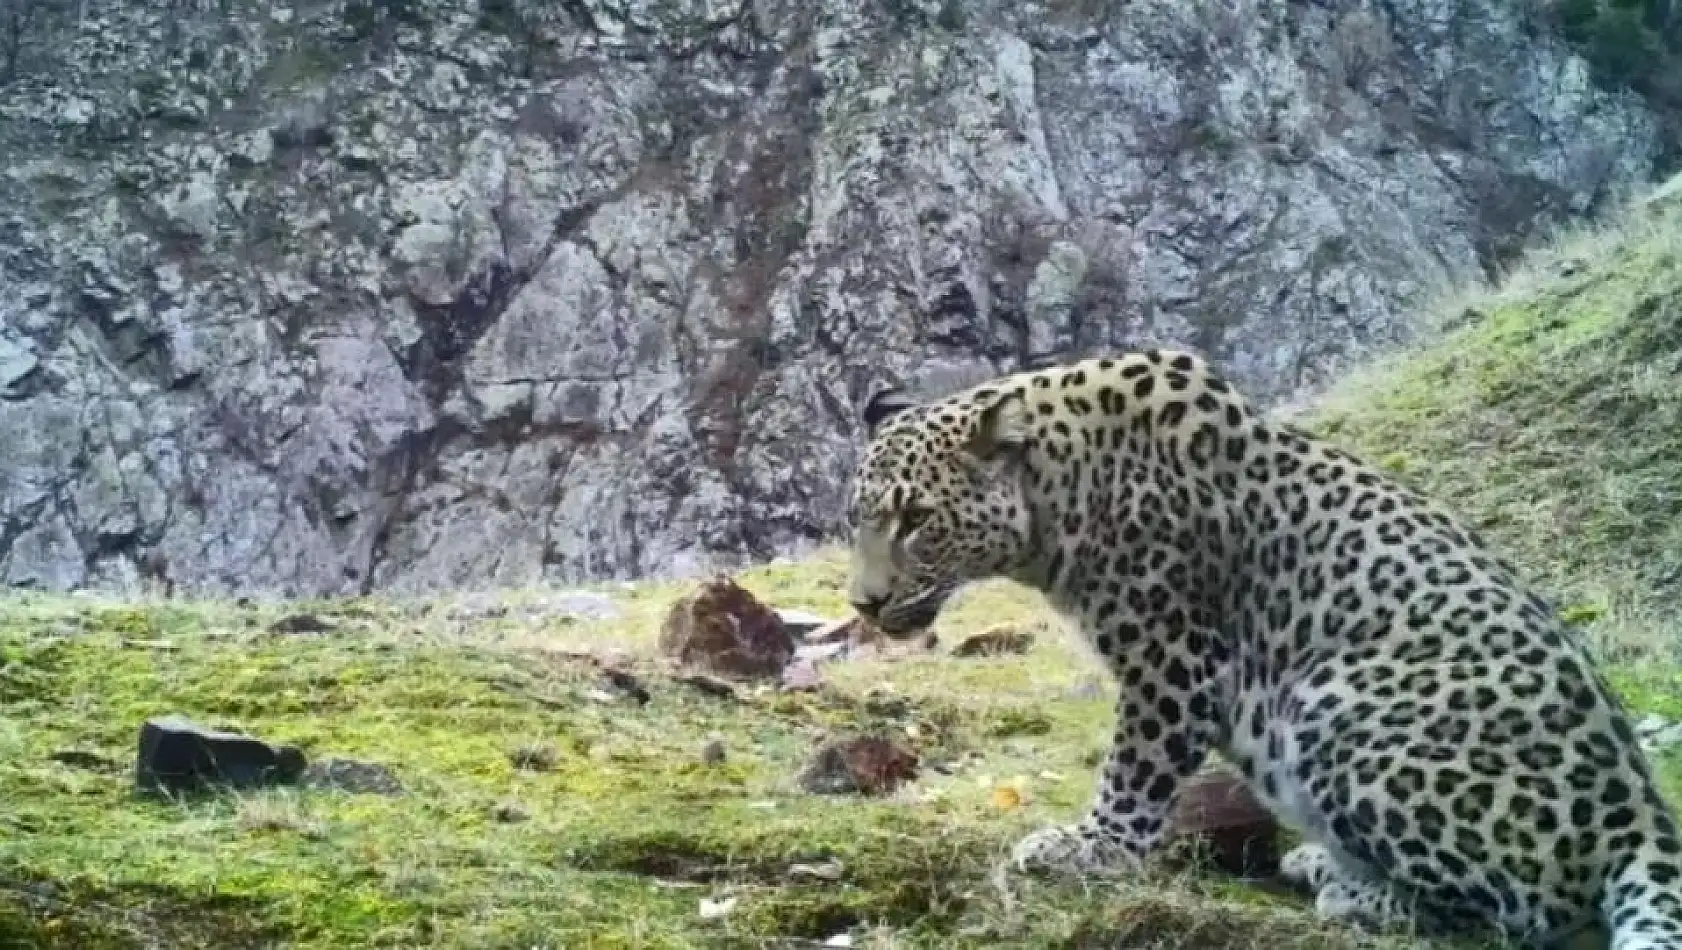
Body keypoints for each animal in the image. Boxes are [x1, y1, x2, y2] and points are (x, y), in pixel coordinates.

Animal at [847, 348, 1682, 948]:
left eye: (917, 520)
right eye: (859, 519)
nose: (863, 604)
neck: (1063, 492)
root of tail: (1644, 813)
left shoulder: (1171, 658)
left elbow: (1134, 771)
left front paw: (1090, 848)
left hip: (1339, 703)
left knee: (1525, 911)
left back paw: (1352, 891)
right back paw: (1323, 862)